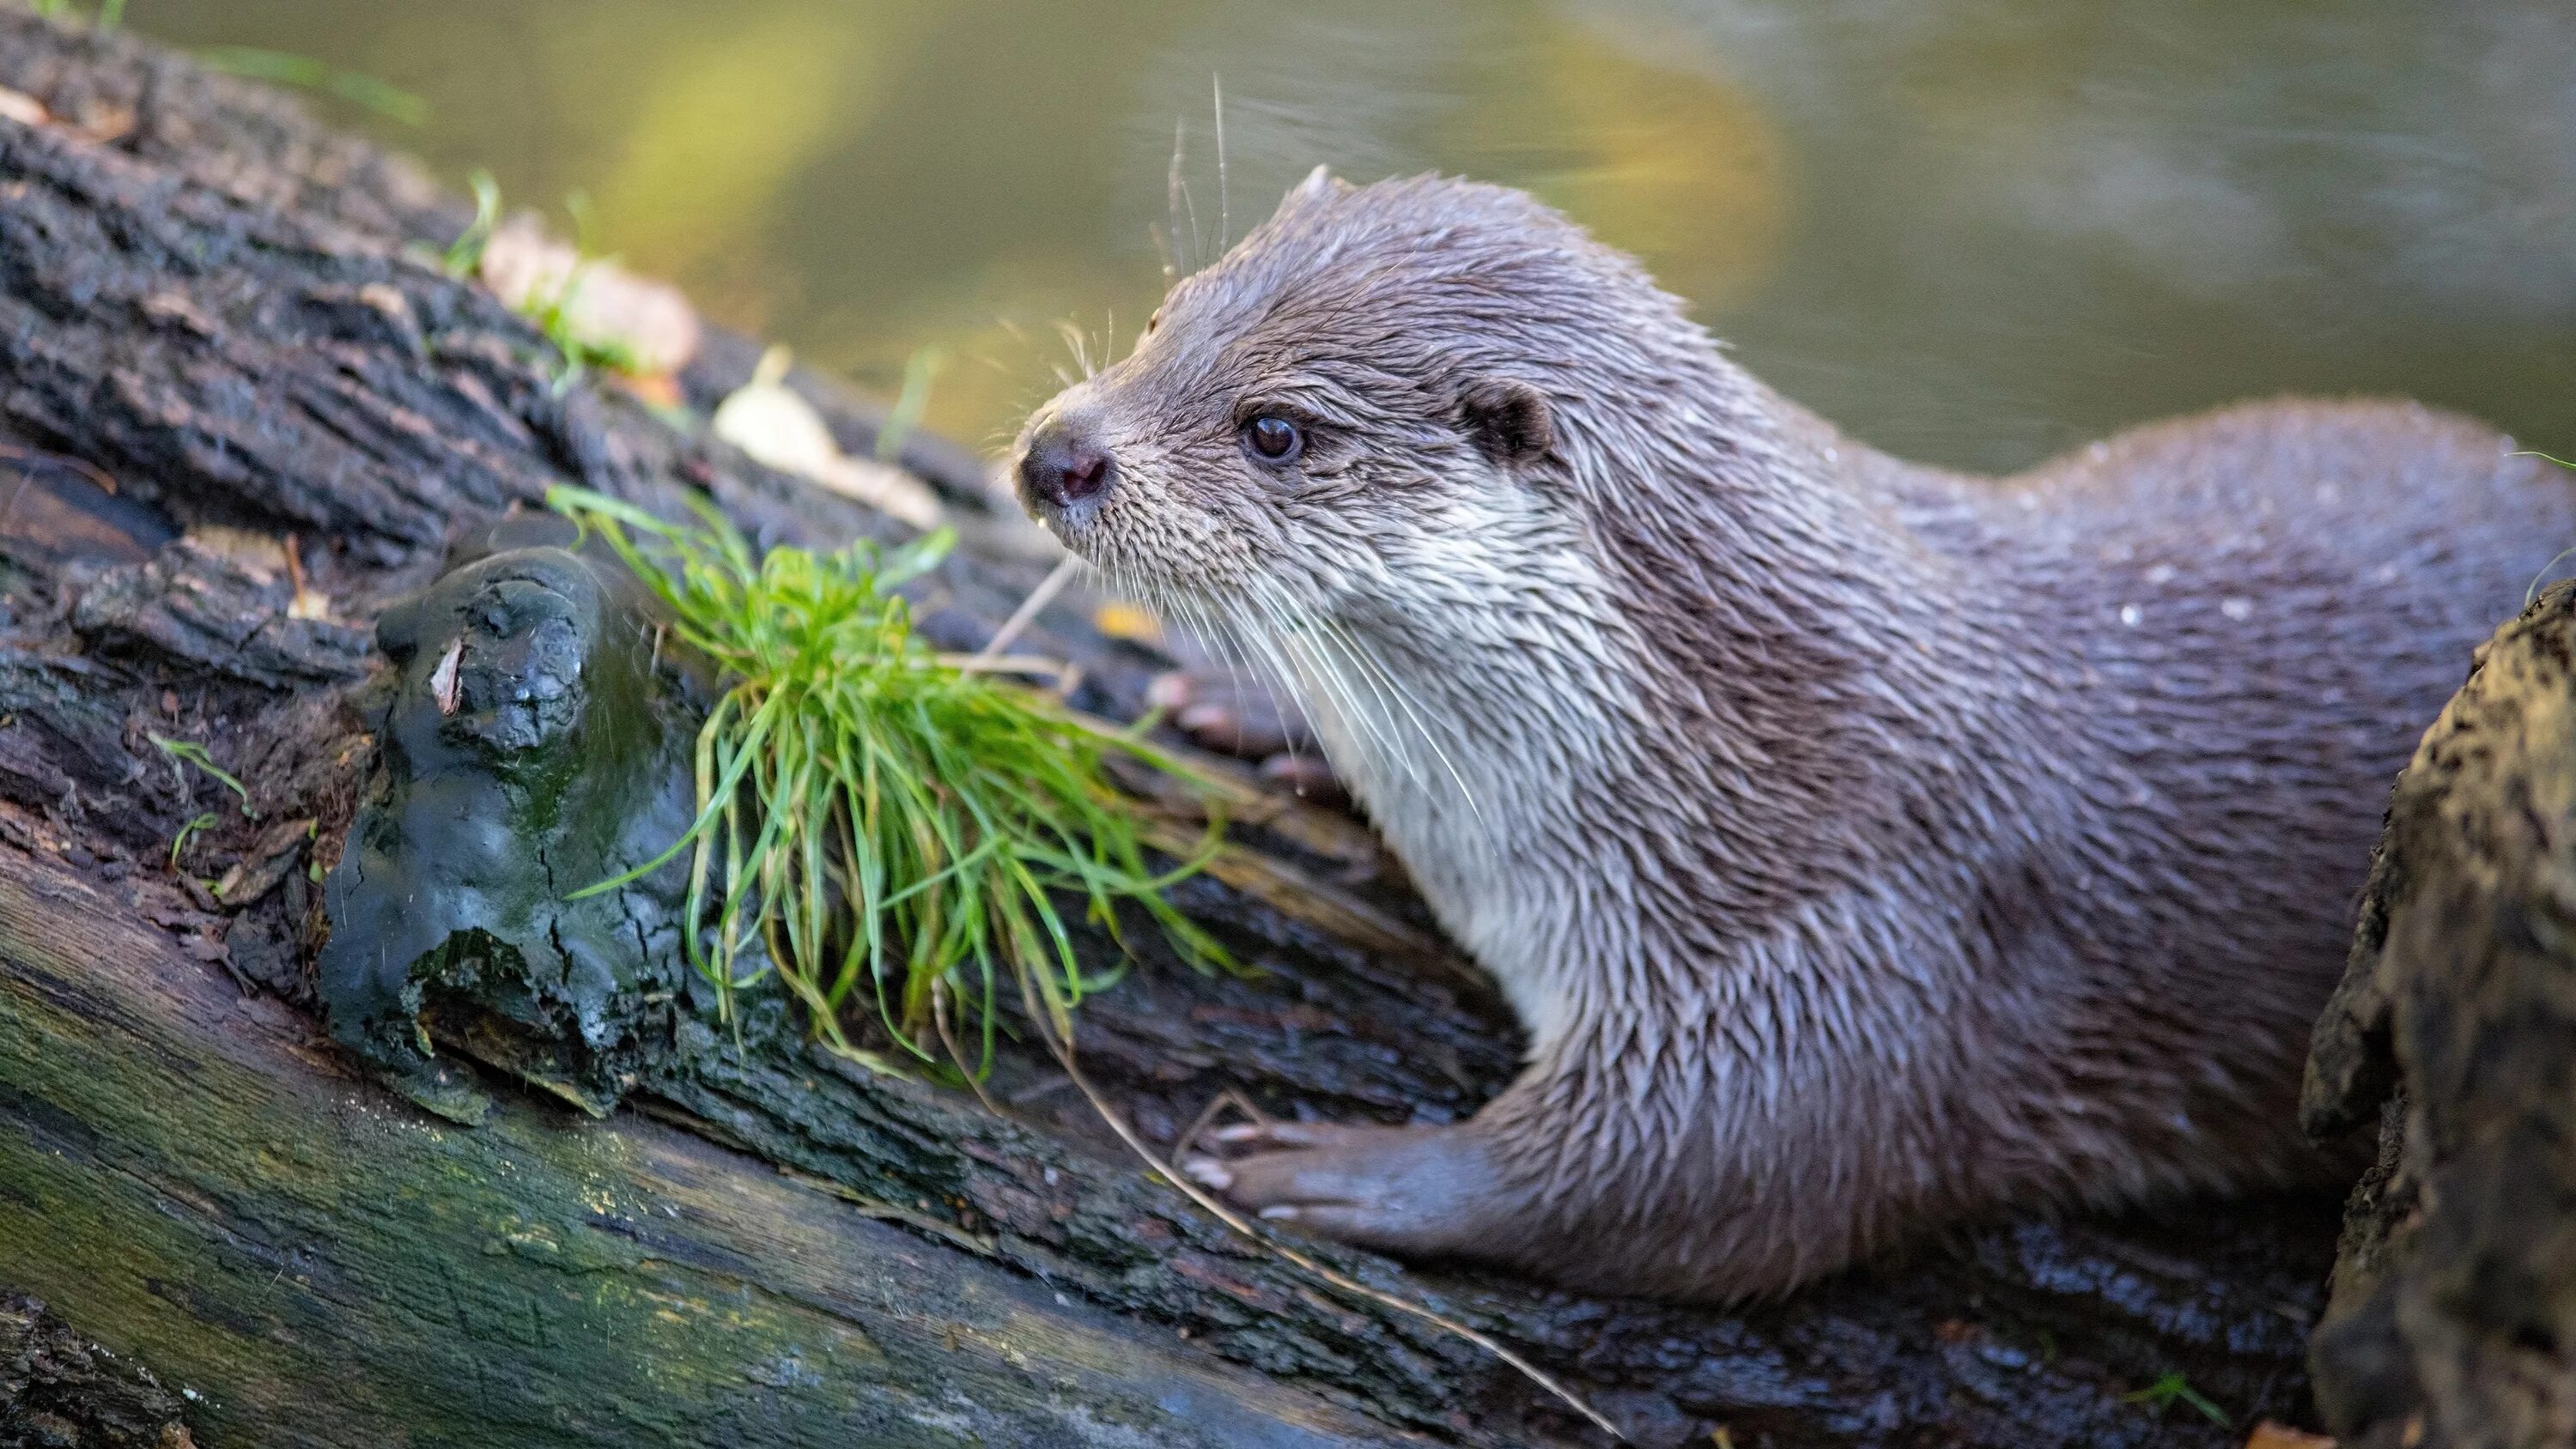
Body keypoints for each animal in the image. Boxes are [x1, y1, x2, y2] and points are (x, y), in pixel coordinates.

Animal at [1005, 169, 2576, 1302]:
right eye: (1170, 314)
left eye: (1275, 431)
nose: (1056, 451)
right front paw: (1254, 708)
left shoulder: (1857, 943)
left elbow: (1717, 1181)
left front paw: (1336, 1167)